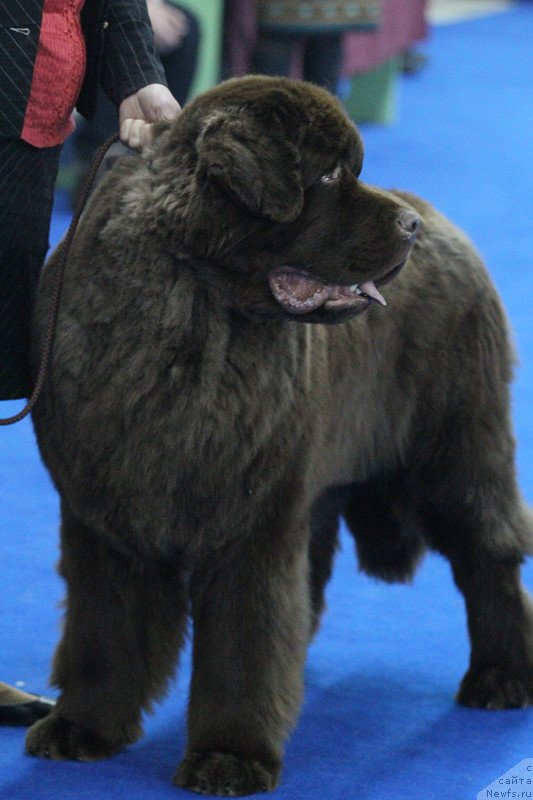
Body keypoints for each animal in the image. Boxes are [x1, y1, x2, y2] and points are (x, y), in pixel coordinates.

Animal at [27, 76, 528, 792]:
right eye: (329, 174)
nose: (407, 227)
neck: (194, 314)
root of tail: (447, 222)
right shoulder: (103, 517)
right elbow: (104, 631)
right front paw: (83, 727)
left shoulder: (251, 526)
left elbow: (244, 643)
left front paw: (230, 755)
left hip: (455, 452)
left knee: (490, 556)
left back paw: (501, 677)